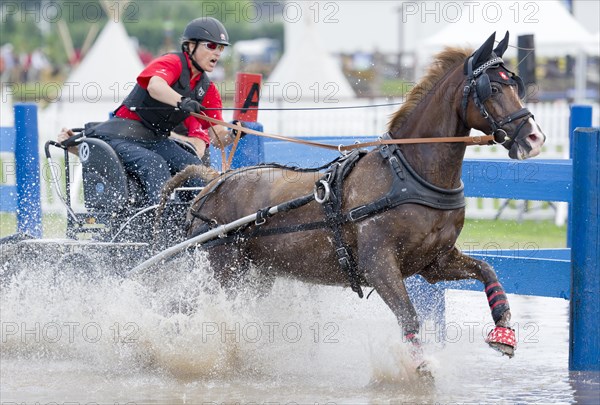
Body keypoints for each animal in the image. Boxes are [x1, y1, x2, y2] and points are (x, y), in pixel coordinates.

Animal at [170, 33, 544, 378]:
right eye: (491, 88)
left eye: (516, 85)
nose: (534, 138)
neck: (408, 174)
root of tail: (212, 184)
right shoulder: (379, 263)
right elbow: (408, 315)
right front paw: (419, 364)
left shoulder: (434, 262)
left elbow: (487, 271)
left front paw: (504, 332)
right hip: (222, 270)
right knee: (191, 305)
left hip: (254, 274)